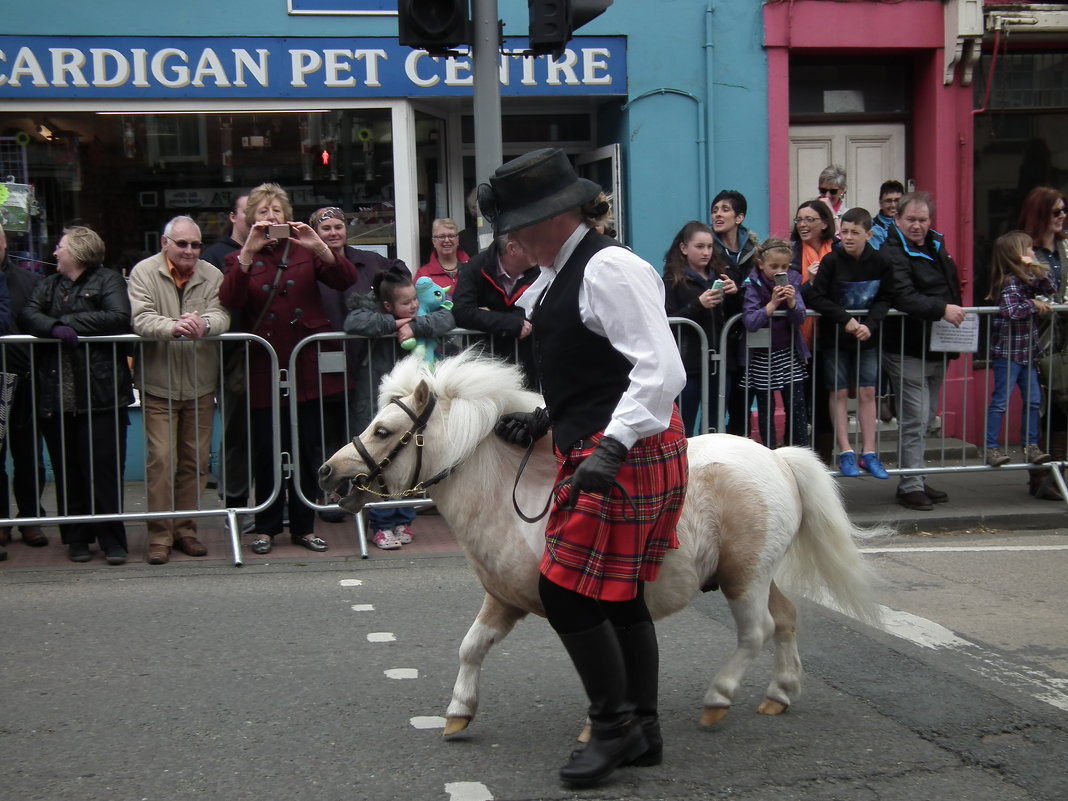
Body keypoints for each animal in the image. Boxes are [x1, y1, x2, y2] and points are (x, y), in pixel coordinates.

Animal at [316, 352, 884, 739]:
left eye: (384, 429)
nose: (326, 472)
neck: (509, 497)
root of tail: (778, 459)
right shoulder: (503, 599)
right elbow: (471, 647)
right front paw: (458, 713)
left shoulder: (575, 601)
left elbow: (602, 659)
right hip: (754, 574)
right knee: (785, 619)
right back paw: (779, 693)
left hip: (745, 578)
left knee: (757, 631)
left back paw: (719, 698)